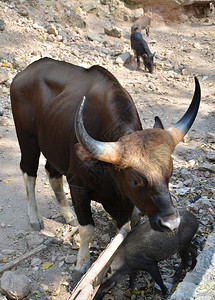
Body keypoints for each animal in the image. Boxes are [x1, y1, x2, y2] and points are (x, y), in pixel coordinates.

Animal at [10, 57, 201, 274]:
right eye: (134, 180)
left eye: (170, 173)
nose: (171, 223)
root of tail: (24, 73)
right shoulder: (78, 186)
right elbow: (87, 229)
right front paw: (82, 263)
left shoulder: (124, 202)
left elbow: (123, 232)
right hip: (28, 140)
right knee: (29, 173)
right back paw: (35, 218)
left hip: (54, 145)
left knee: (52, 172)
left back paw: (68, 215)